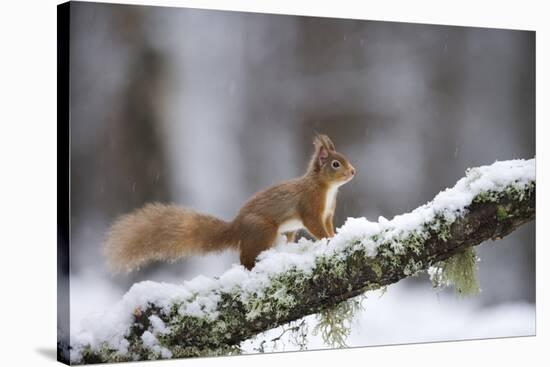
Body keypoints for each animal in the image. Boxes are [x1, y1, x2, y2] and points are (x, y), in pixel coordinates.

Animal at [105, 134, 358, 272]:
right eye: (335, 164)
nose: (353, 172)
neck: (327, 189)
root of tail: (236, 228)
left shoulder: (327, 213)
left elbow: (329, 225)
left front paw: (335, 236)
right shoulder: (310, 207)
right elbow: (314, 226)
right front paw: (328, 240)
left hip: (283, 234)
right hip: (263, 229)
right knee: (245, 258)